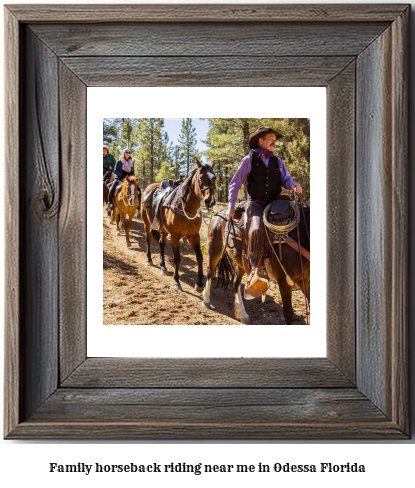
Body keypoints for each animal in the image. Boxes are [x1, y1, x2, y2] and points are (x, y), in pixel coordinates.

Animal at [141, 159, 216, 290]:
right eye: (200, 177)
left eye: (215, 178)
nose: (209, 201)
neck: (186, 208)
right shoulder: (175, 237)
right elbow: (177, 259)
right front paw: (176, 281)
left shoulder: (194, 236)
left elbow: (199, 257)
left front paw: (199, 284)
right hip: (147, 223)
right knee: (148, 239)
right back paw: (149, 259)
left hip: (164, 230)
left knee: (161, 243)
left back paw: (163, 266)